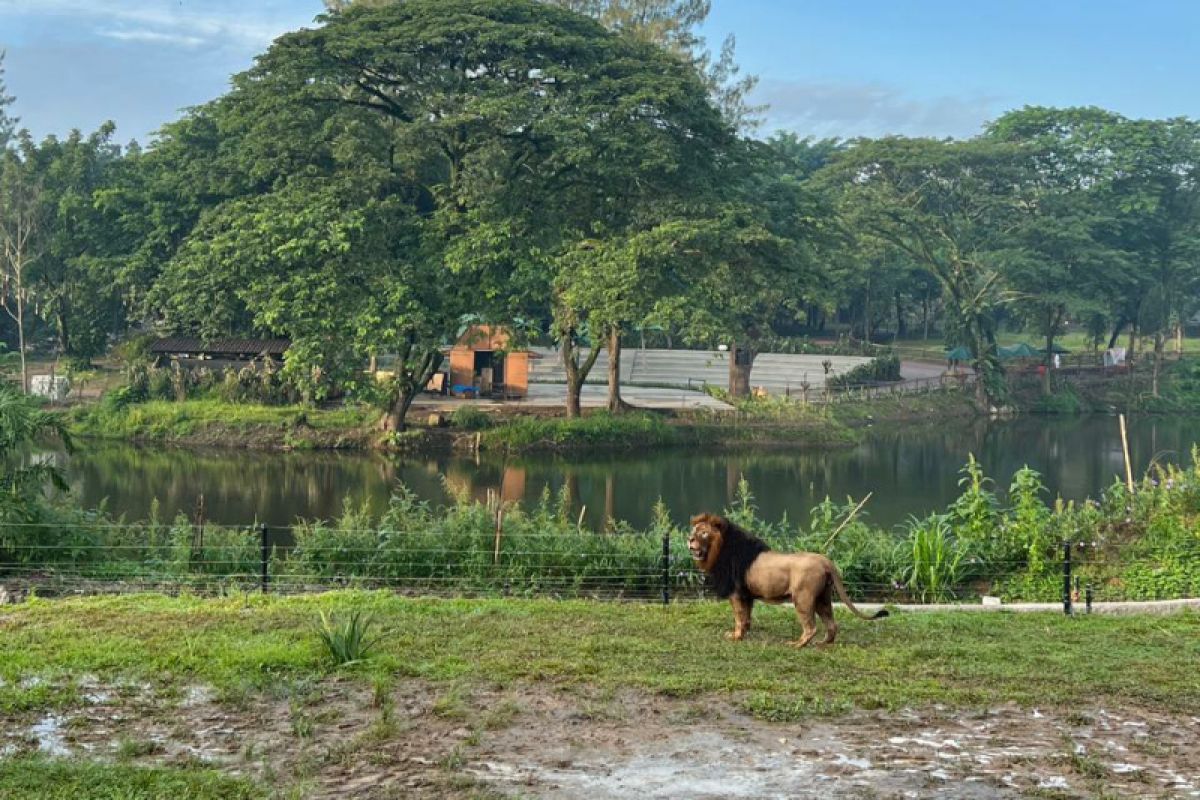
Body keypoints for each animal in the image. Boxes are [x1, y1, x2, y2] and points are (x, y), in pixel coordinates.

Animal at [691, 513, 888, 652]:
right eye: (693, 532)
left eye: (703, 533)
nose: (689, 540)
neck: (719, 551)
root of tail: (825, 560)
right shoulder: (747, 595)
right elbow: (746, 617)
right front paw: (744, 634)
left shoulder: (736, 593)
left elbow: (739, 618)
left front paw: (735, 636)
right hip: (823, 598)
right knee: (832, 625)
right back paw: (822, 644)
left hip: (803, 598)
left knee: (811, 627)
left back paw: (796, 645)